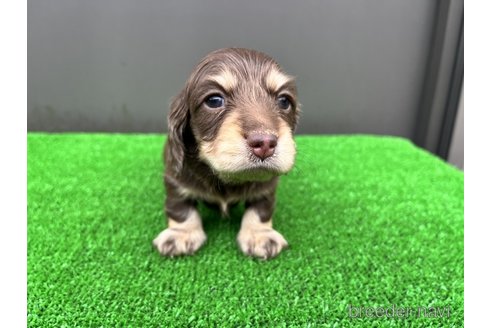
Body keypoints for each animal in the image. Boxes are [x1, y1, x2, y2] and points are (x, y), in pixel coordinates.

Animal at [153, 48, 300, 258]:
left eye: (284, 101)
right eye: (214, 100)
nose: (265, 143)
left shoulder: (267, 186)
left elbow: (261, 208)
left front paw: (260, 235)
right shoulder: (175, 179)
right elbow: (180, 208)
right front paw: (180, 234)